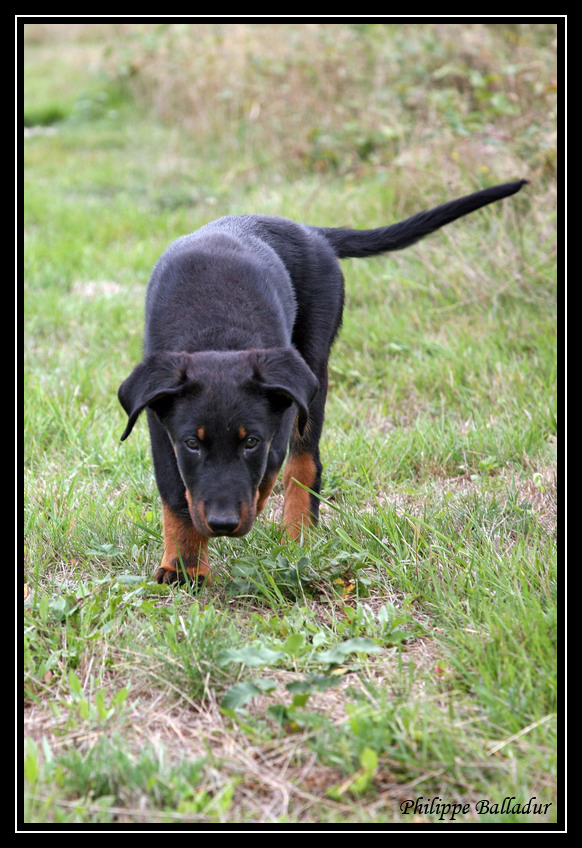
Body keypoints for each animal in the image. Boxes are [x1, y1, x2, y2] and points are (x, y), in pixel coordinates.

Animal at [118, 181, 528, 584]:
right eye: (192, 443)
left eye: (251, 442)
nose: (223, 523)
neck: (215, 335)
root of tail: (313, 233)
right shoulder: (161, 425)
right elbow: (175, 493)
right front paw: (183, 568)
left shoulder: (280, 416)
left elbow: (269, 469)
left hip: (313, 372)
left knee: (304, 462)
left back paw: (296, 535)